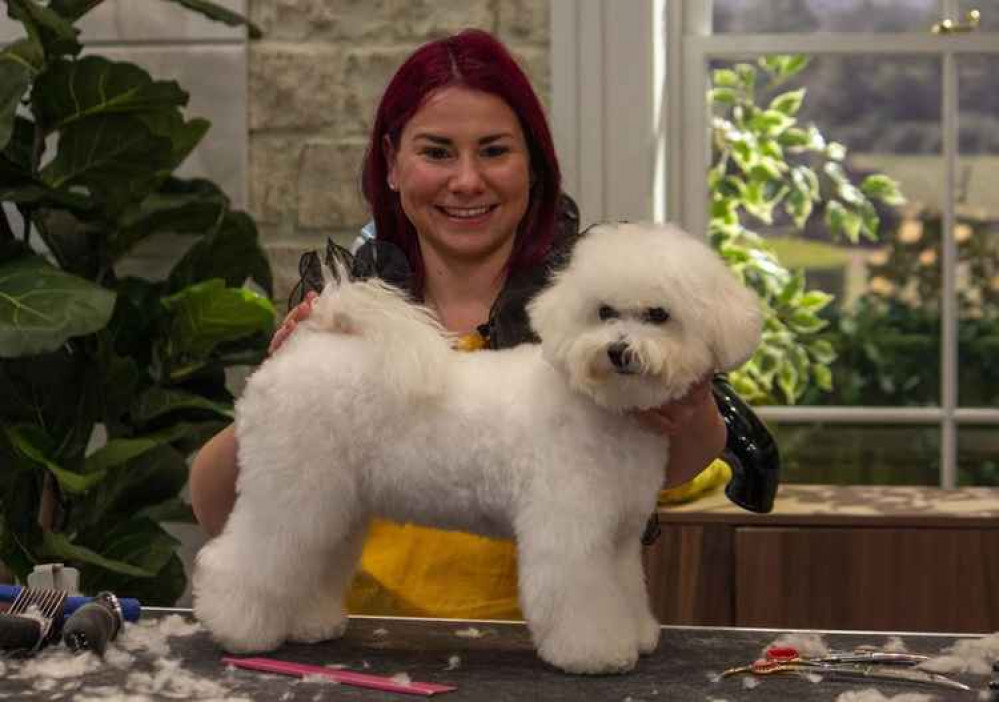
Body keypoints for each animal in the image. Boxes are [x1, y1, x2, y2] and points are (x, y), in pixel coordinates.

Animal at [193, 223, 756, 672]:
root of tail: (307, 345)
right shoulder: (569, 530)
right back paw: (236, 628)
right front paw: (596, 652)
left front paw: (636, 635)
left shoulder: (616, 536)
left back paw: (308, 623)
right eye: (604, 312)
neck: (599, 407)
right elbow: (579, 596)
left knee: (312, 561)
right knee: (247, 556)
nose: (617, 351)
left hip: (335, 504)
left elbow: (625, 589)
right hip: (291, 488)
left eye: (659, 315)